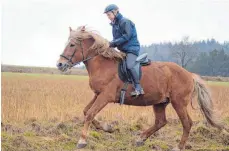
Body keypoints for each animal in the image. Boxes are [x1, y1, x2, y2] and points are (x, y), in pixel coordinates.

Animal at [56, 25, 223, 150]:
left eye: (72, 45)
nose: (60, 64)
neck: (103, 65)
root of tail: (190, 75)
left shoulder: (105, 96)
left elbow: (90, 113)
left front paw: (82, 141)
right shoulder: (98, 95)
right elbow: (86, 111)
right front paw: (107, 127)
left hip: (179, 102)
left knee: (187, 123)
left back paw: (178, 147)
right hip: (160, 102)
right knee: (161, 122)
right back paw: (141, 139)